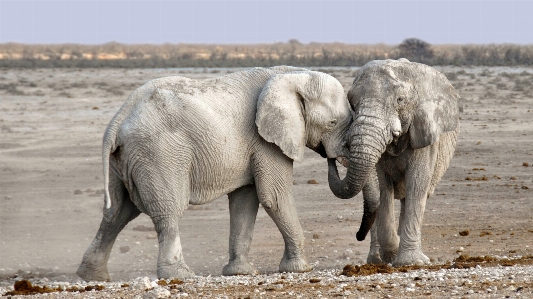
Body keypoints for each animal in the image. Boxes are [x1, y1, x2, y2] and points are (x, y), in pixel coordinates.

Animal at [78, 65, 354, 282]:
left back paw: (92, 276)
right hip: (159, 153)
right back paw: (181, 275)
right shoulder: (265, 141)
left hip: (124, 159)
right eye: (332, 123)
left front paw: (240, 273)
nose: (331, 158)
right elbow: (273, 197)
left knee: (117, 212)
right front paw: (301, 269)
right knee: (168, 210)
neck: (293, 74)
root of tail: (118, 118)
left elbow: (245, 201)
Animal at [326, 58, 460, 268]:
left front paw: (410, 262)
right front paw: (392, 254)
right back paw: (376, 260)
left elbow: (417, 184)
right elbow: (382, 187)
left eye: (400, 100)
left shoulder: (424, 134)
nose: (330, 157)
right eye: (352, 103)